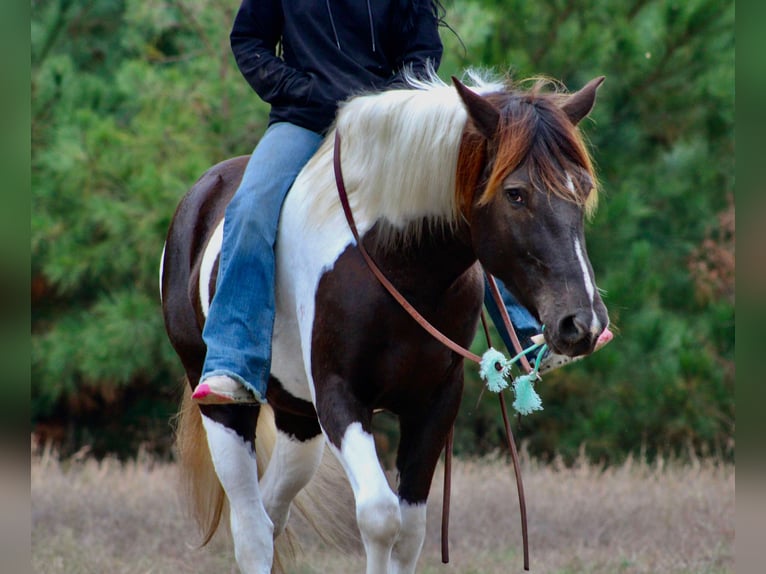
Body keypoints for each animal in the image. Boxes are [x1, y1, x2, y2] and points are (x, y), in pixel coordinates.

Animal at [160, 73, 609, 574]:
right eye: (516, 194)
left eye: (583, 187)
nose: (582, 323)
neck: (395, 264)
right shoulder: (339, 396)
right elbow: (379, 517)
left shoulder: (434, 403)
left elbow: (409, 531)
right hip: (225, 409)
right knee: (252, 527)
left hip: (300, 419)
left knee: (273, 509)